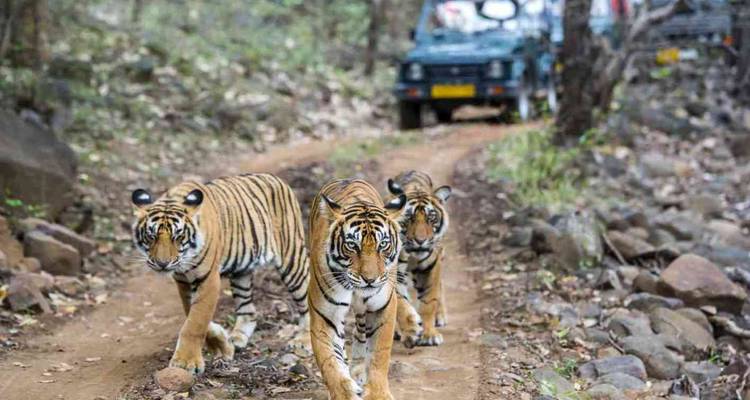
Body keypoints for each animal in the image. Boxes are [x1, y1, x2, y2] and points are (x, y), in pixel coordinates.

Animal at [130, 173, 310, 374]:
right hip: (241, 272)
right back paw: (237, 338)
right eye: (151, 236)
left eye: (178, 237)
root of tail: (276, 178)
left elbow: (196, 321)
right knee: (248, 310)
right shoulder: (183, 281)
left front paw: (186, 362)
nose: (162, 264)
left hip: (292, 259)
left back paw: (303, 341)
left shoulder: (208, 279)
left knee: (307, 300)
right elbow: (191, 313)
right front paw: (222, 345)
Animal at [308, 179, 406, 400]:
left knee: (361, 332)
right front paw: (344, 393)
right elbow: (330, 362)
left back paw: (359, 370)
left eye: (383, 244)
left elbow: (379, 354)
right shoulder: (325, 314)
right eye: (352, 245)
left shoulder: (382, 307)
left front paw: (377, 394)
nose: (370, 280)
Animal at [386, 170, 451, 347]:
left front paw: (429, 335)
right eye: (409, 218)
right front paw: (411, 330)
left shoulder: (431, 267)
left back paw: (440, 316)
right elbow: (400, 303)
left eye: (431, 218)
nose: (421, 240)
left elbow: (428, 301)